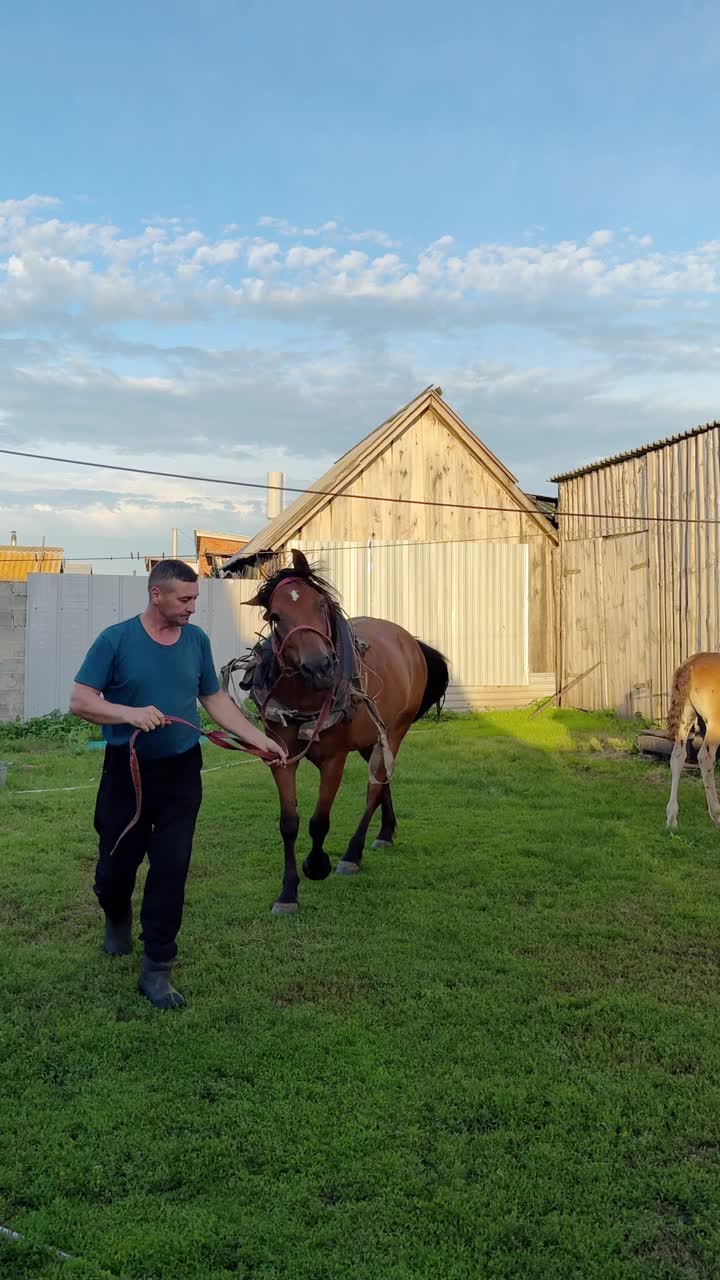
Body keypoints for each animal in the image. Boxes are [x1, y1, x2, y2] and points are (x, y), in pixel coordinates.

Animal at [225, 550, 448, 911]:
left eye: (320, 604)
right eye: (276, 616)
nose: (319, 667)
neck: (306, 698)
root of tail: (409, 641)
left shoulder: (334, 760)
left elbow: (319, 821)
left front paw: (317, 865)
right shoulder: (280, 758)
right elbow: (289, 823)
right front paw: (288, 892)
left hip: (395, 731)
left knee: (374, 788)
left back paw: (352, 854)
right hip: (372, 739)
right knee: (383, 782)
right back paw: (385, 832)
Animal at [666, 650, 720, 829]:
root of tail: (690, 664)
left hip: (686, 716)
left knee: (677, 756)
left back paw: (672, 817)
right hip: (715, 724)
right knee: (705, 757)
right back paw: (717, 814)